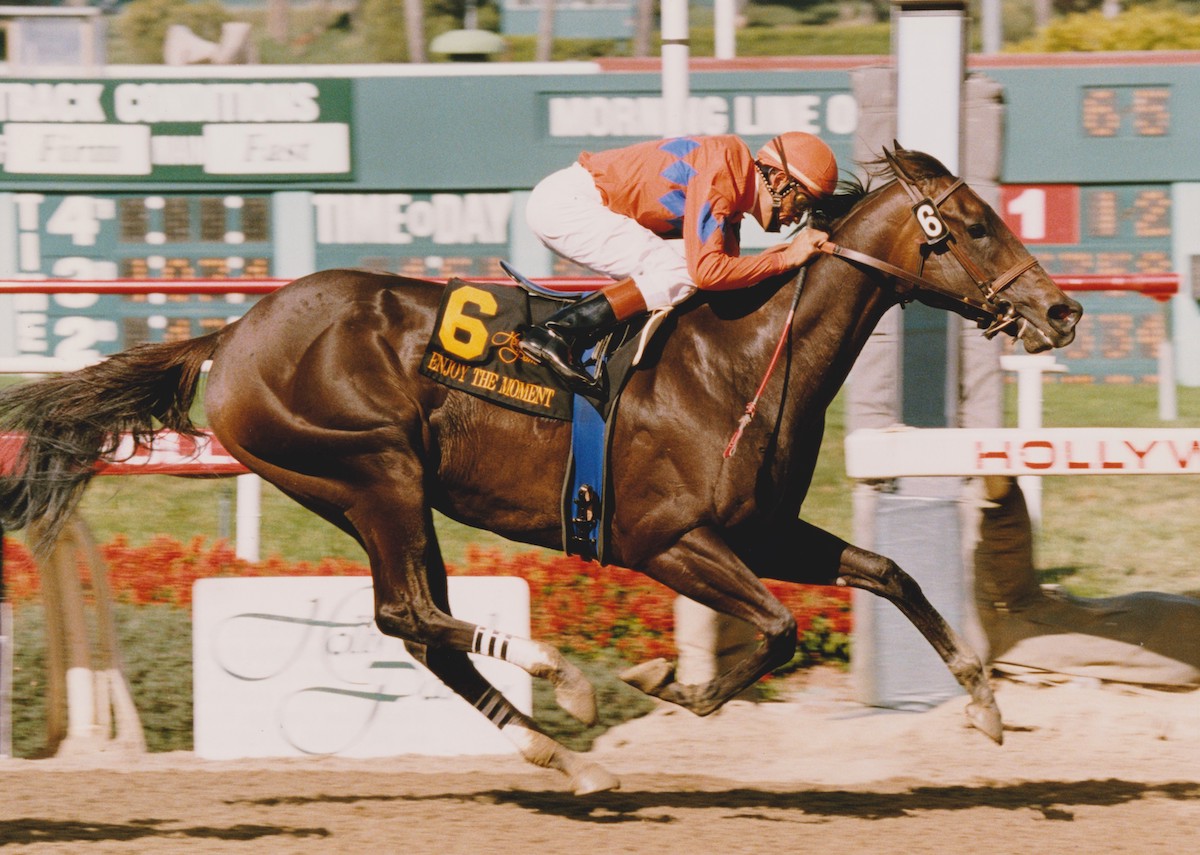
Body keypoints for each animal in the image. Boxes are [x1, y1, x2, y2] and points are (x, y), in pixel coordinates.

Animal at [0, 147, 1084, 792]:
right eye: (975, 224)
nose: (1063, 311)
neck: (738, 362)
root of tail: (230, 334)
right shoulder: (664, 540)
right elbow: (776, 629)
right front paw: (664, 684)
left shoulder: (763, 529)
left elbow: (891, 573)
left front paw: (984, 703)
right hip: (373, 471)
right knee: (405, 614)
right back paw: (565, 687)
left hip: (372, 492)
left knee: (421, 629)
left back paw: (563, 757)